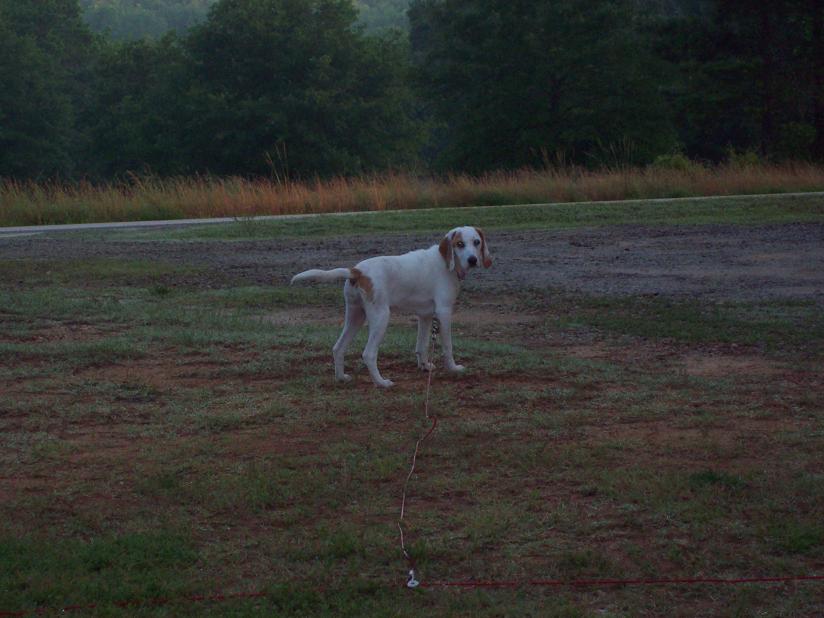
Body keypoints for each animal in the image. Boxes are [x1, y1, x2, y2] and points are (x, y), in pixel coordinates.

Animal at [290, 226, 492, 388]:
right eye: (459, 244)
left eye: (477, 242)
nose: (473, 260)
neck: (445, 262)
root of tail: (357, 271)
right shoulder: (444, 312)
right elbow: (448, 347)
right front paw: (453, 368)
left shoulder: (425, 316)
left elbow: (422, 345)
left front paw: (425, 366)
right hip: (381, 318)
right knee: (369, 354)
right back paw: (381, 383)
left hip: (355, 317)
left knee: (338, 348)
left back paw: (341, 378)